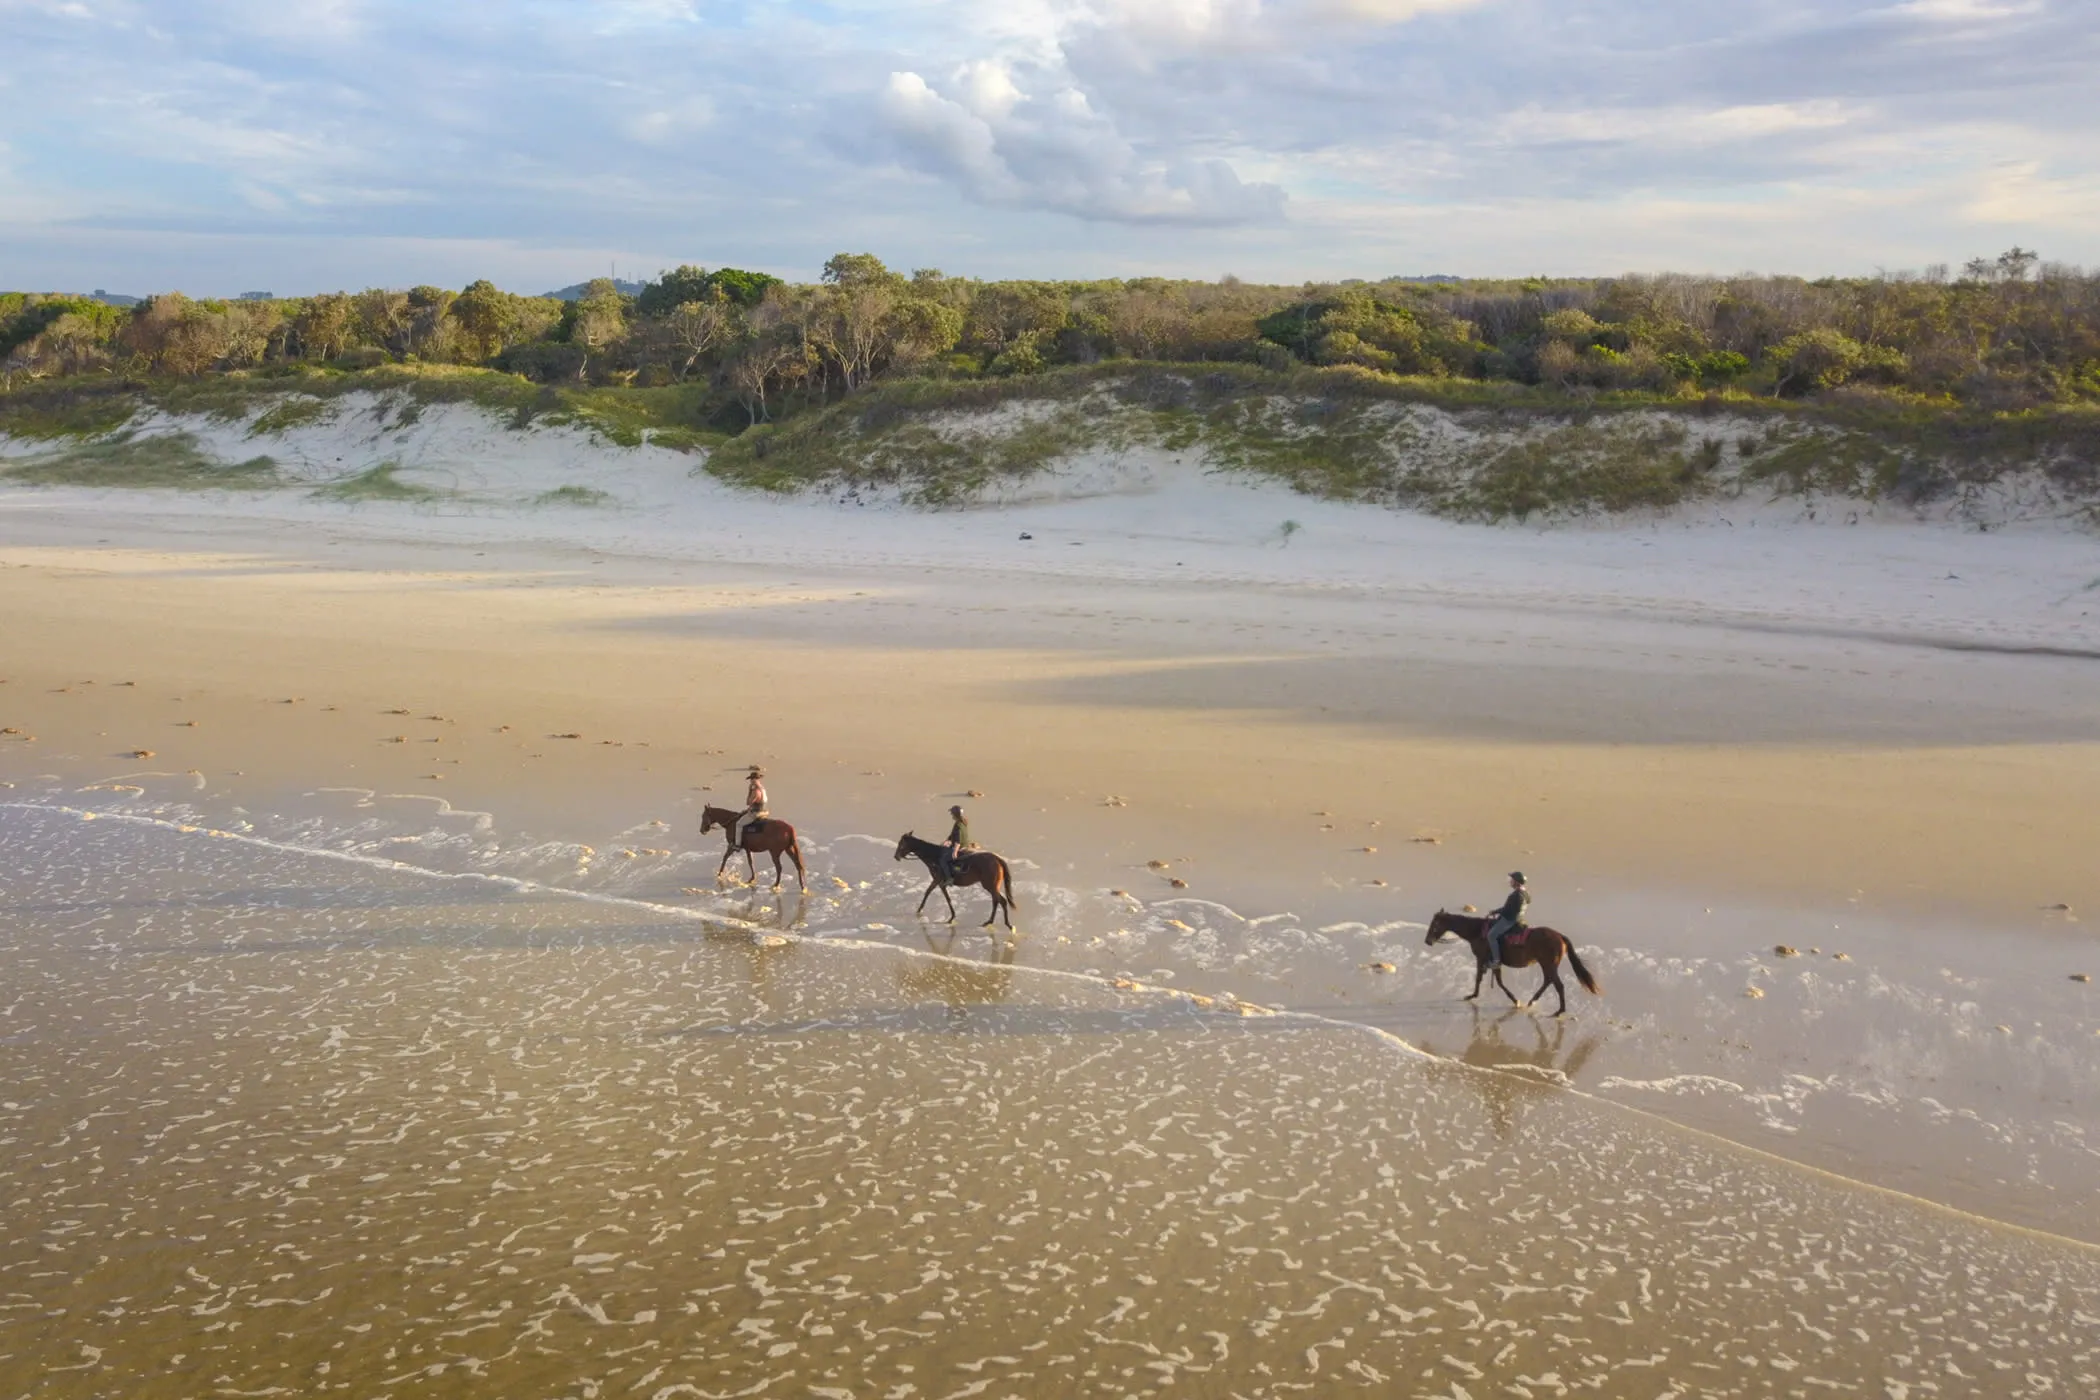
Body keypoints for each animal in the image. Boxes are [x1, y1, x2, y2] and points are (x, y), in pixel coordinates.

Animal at [1424, 909, 1599, 1016]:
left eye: (1434, 924)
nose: (1427, 941)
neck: (1476, 931)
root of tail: (1560, 936)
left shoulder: (1484, 959)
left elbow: (1487, 980)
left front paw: (1515, 1000)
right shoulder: (1491, 962)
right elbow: (1489, 980)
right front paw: (1473, 995)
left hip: (1548, 964)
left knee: (1557, 984)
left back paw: (1559, 1011)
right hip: (1547, 965)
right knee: (1548, 981)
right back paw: (1533, 1001)